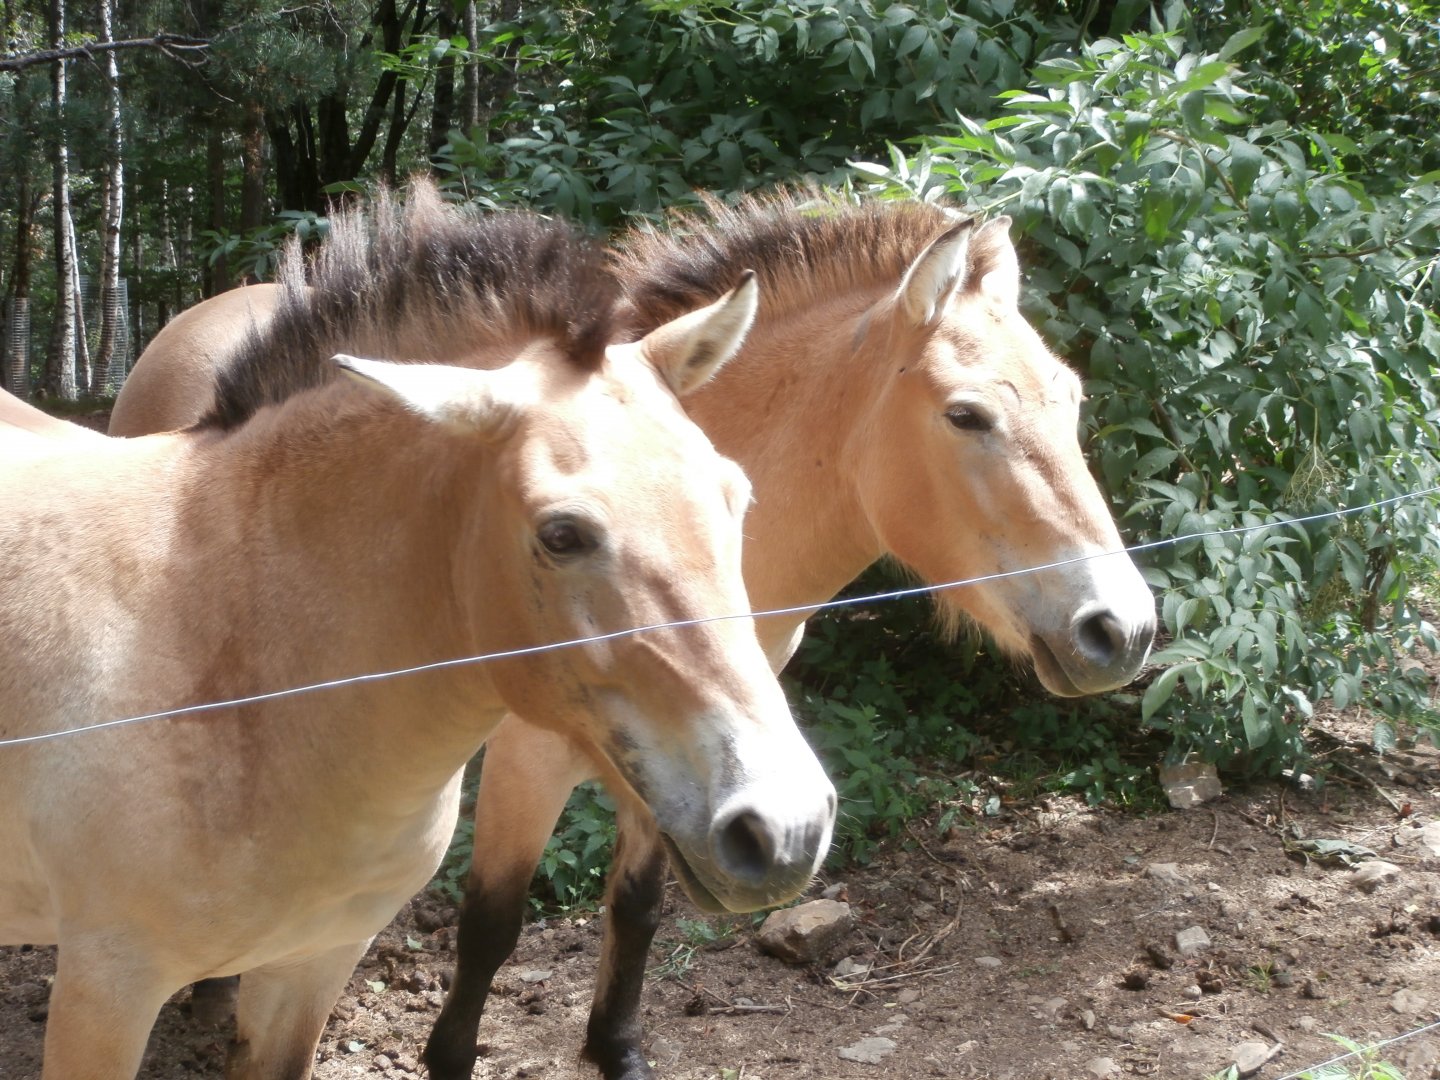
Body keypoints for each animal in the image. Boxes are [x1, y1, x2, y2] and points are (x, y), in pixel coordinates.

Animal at [110, 190, 1157, 1080]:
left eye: (1070, 398)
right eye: (966, 414)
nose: (1123, 628)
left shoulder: (694, 769)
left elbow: (640, 907)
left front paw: (615, 1049)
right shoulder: (531, 763)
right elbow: (490, 925)